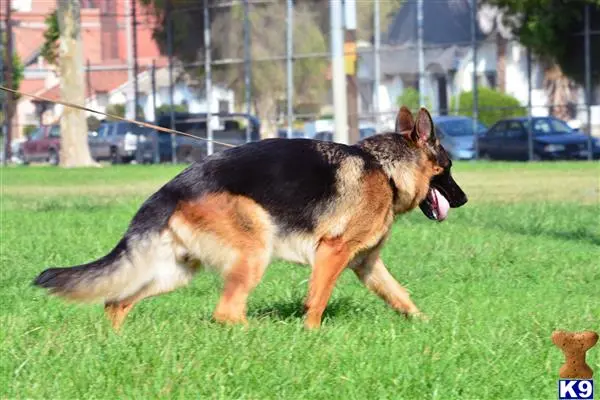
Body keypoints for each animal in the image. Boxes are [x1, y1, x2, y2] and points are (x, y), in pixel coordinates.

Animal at [32, 104, 468, 330]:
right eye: (447, 169)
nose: (463, 199)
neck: (385, 168)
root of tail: (169, 190)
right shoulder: (333, 252)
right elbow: (317, 300)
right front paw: (309, 335)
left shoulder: (366, 264)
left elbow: (401, 296)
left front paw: (426, 323)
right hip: (254, 249)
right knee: (226, 312)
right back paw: (257, 331)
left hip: (174, 270)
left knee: (116, 301)